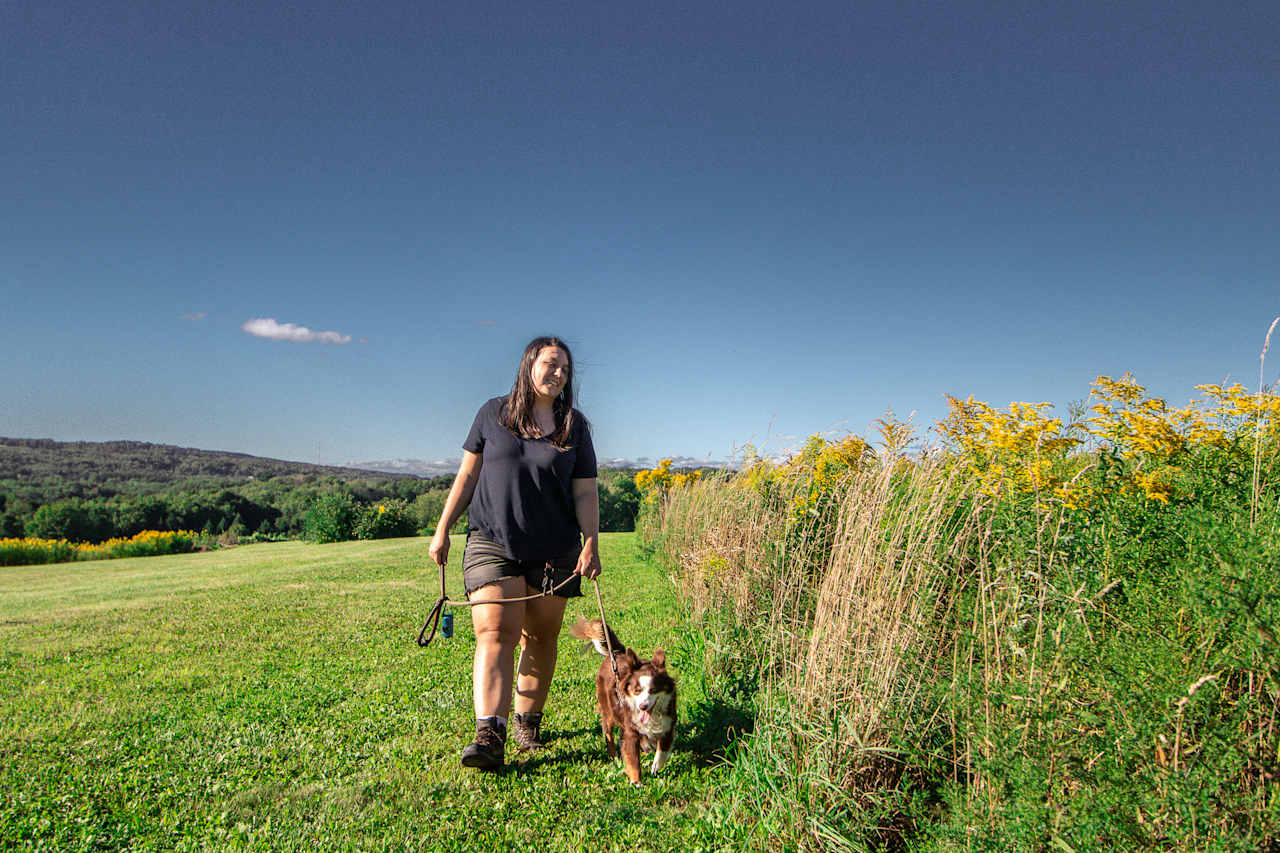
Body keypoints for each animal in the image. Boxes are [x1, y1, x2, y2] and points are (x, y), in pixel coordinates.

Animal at [573, 614, 680, 778]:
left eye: (653, 690)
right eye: (637, 690)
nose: (643, 706)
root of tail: (616, 653)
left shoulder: (668, 725)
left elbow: (662, 750)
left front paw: (656, 766)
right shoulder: (630, 731)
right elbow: (632, 760)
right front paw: (637, 781)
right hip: (608, 711)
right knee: (608, 733)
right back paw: (613, 755)